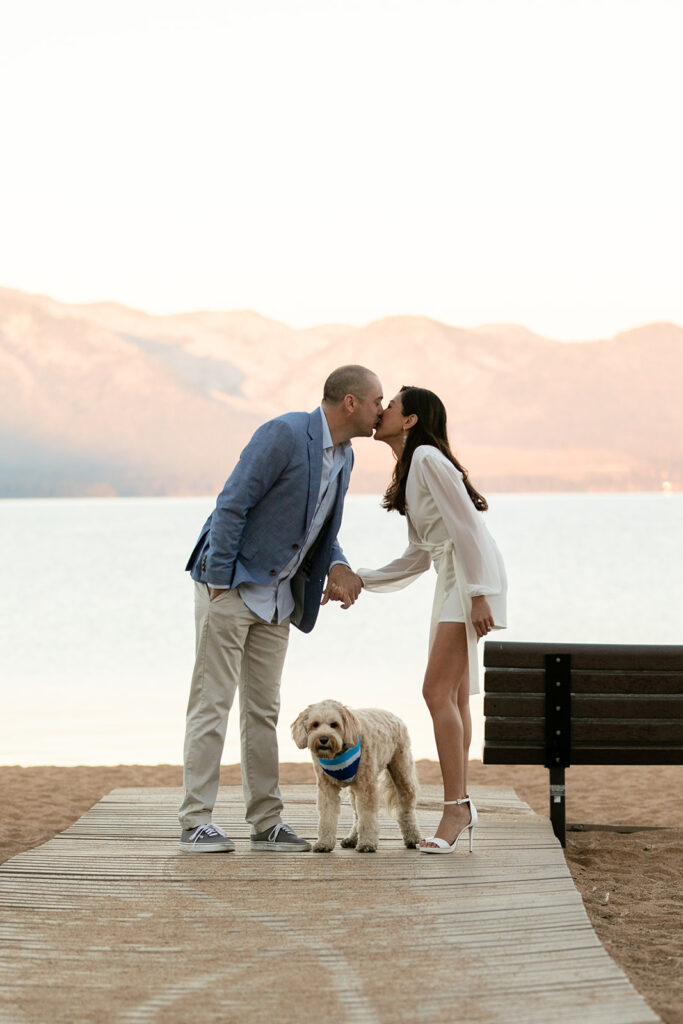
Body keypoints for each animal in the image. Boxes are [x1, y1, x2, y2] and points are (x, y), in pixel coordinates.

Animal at [290, 700, 421, 851]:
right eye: (315, 724)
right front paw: (324, 843)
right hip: (354, 790)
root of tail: (395, 716)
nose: (323, 739)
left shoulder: (366, 786)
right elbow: (327, 817)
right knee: (357, 816)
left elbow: (367, 817)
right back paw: (352, 838)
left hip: (402, 772)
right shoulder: (327, 788)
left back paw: (413, 837)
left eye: (334, 724)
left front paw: (367, 843)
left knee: (406, 808)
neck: (338, 754)